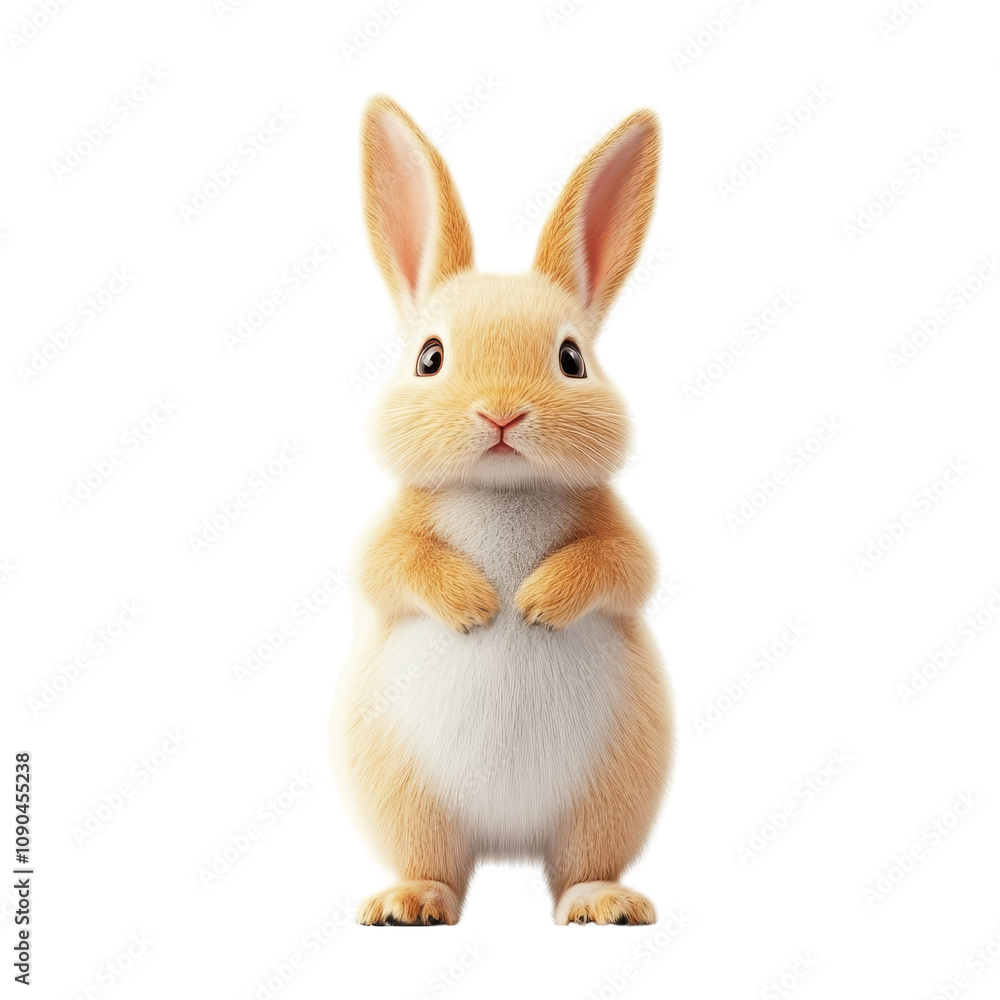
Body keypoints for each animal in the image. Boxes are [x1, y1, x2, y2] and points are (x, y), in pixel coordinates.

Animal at [333, 95, 673, 926]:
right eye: (430, 357)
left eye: (572, 359)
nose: (501, 414)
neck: (501, 491)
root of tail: (509, 842)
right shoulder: (385, 541)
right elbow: (394, 564)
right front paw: (479, 605)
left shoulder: (622, 538)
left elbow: (620, 565)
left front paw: (538, 603)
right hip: (408, 797)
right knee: (435, 865)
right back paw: (408, 903)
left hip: (608, 796)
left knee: (582, 865)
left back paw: (604, 904)